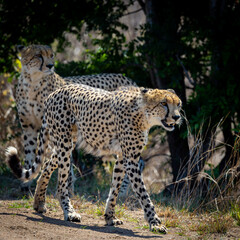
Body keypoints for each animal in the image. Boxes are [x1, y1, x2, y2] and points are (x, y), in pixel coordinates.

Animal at [6, 83, 182, 233]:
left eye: (178, 104)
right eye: (163, 103)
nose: (177, 117)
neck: (143, 115)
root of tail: (55, 92)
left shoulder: (122, 157)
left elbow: (115, 189)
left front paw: (110, 217)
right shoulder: (130, 159)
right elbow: (143, 194)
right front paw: (155, 223)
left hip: (66, 142)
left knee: (47, 164)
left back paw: (39, 203)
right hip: (65, 143)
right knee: (61, 184)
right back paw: (69, 212)